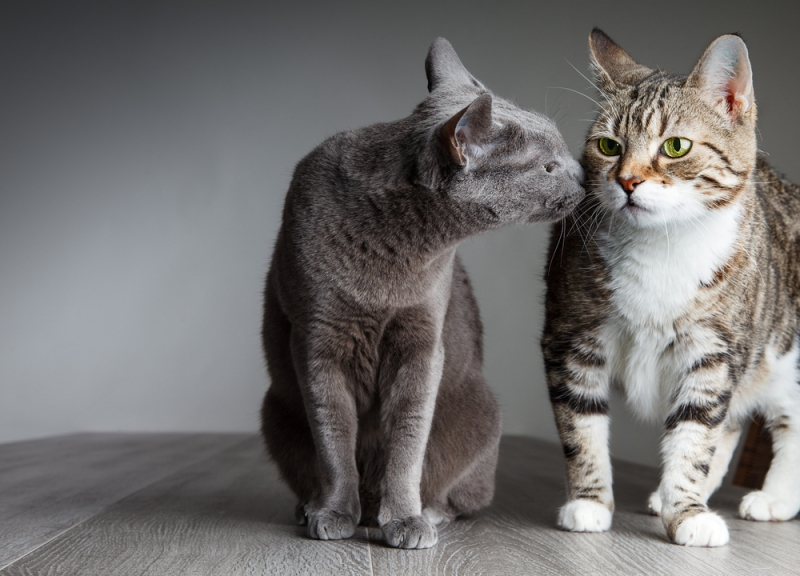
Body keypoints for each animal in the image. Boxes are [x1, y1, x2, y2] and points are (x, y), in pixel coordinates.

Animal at [260, 37, 580, 548]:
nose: (586, 173)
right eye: (548, 166)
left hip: (481, 415)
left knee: (460, 496)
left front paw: (405, 520)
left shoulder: (421, 340)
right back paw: (313, 507)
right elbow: (334, 437)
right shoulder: (316, 339)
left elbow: (408, 440)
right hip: (276, 410)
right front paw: (334, 512)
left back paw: (424, 513)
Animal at [540, 29, 800, 548]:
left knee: (783, 422)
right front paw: (590, 503)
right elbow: (581, 426)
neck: (661, 246)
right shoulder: (571, 335)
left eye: (676, 146)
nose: (627, 180)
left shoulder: (715, 349)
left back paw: (774, 498)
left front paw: (688, 513)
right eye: (608, 145)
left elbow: (696, 432)